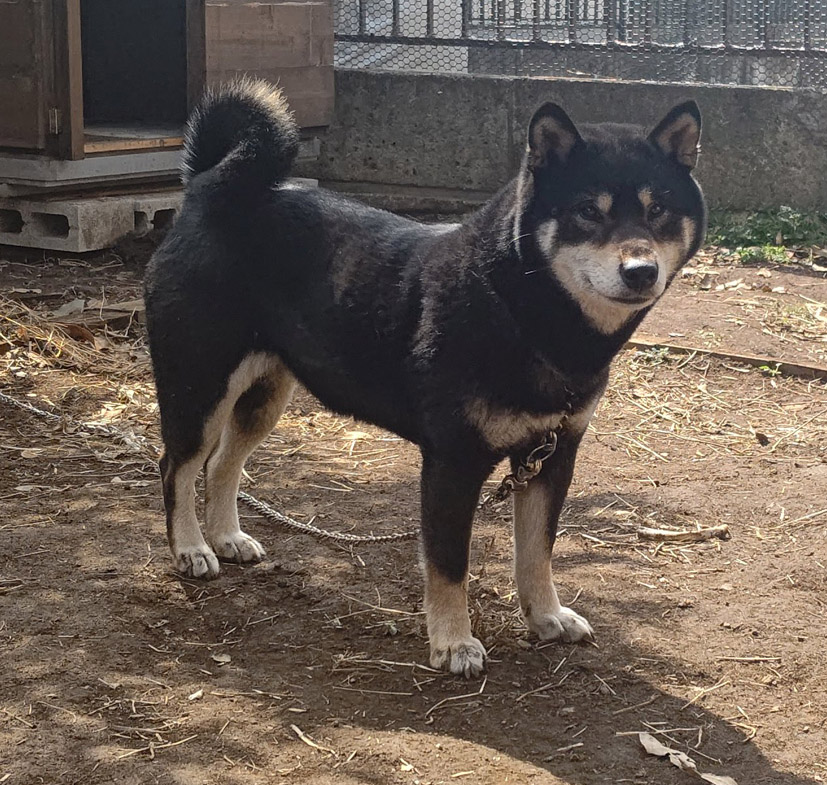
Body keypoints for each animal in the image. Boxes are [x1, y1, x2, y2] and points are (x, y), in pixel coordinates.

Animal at [145, 79, 706, 677]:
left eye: (658, 210)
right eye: (586, 211)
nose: (641, 271)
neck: (517, 306)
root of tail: (207, 189)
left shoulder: (552, 456)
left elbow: (536, 552)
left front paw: (546, 616)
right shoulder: (454, 463)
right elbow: (449, 564)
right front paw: (454, 642)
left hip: (264, 396)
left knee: (223, 464)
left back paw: (227, 536)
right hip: (199, 389)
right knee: (178, 467)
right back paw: (191, 548)